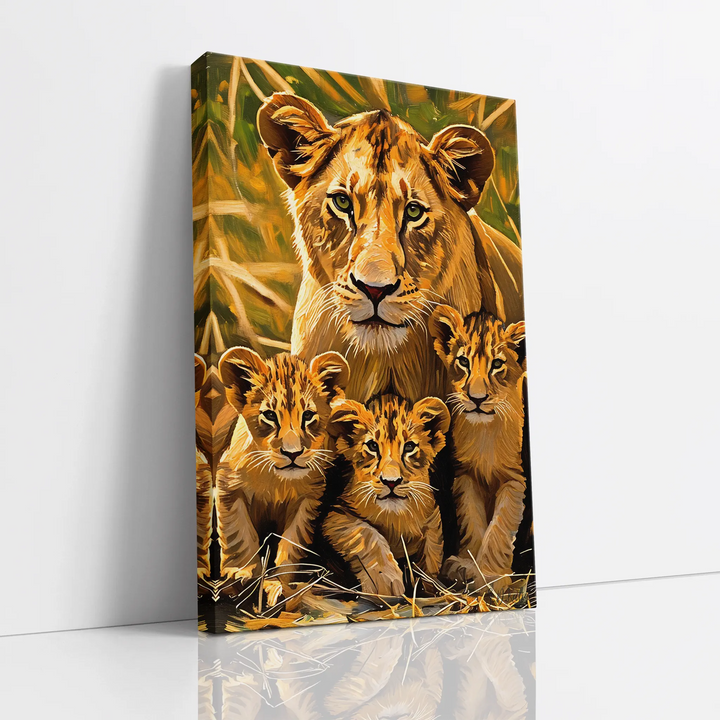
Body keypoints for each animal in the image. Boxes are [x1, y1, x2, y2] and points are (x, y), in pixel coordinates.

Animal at [215, 346, 349, 603]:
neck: (275, 479)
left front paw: (279, 584)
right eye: (269, 415)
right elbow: (240, 534)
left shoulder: (308, 500)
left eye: (308, 416)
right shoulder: (228, 485)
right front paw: (242, 575)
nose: (292, 453)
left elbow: (291, 544)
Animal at [324, 394, 451, 596]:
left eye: (409, 447)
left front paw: (430, 587)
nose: (391, 481)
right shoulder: (336, 515)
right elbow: (367, 534)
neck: (395, 517)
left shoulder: (432, 519)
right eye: (372, 446)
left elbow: (431, 552)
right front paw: (386, 583)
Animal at [429, 304, 527, 590]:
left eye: (497, 364)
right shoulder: (466, 476)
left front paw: (491, 576)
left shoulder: (515, 479)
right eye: (463, 362)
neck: (485, 433)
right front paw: (466, 566)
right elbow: (471, 520)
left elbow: (500, 525)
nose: (477, 399)